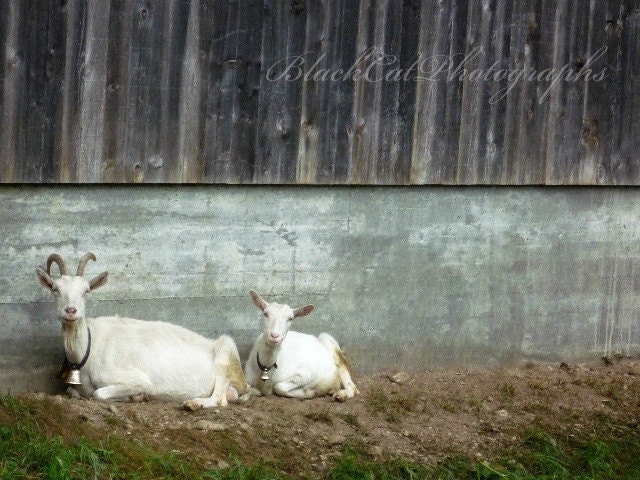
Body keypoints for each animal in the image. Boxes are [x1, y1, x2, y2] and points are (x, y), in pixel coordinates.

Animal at [36, 253, 249, 410]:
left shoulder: (137, 379)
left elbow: (99, 393)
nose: (71, 311)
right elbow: (71, 392)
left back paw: (193, 404)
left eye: (86, 290)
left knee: (219, 399)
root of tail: (244, 382)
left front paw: (137, 397)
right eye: (55, 289)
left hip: (226, 352)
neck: (89, 346)